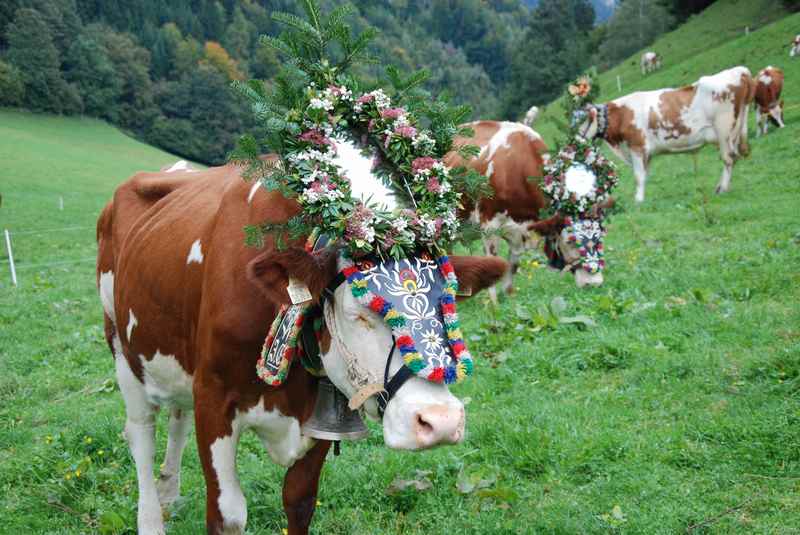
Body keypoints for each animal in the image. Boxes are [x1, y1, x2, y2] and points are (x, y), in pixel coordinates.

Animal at [94, 5, 506, 535]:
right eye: (359, 314)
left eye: (448, 307)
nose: (439, 422)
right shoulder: (213, 398)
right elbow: (227, 514)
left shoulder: (320, 409)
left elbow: (300, 500)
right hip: (121, 346)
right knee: (140, 430)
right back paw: (152, 510)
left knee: (173, 417)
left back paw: (169, 489)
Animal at [576, 65, 752, 203]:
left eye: (582, 120)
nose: (577, 139)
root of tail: (739, 71)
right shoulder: (645, 153)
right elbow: (644, 175)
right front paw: (641, 198)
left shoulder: (637, 146)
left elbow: (638, 176)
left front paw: (637, 201)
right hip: (734, 132)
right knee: (733, 158)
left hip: (724, 131)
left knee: (728, 159)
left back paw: (722, 189)